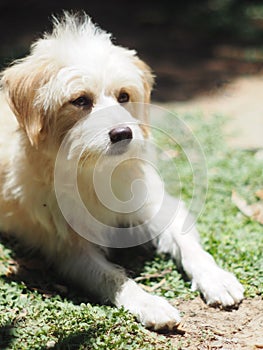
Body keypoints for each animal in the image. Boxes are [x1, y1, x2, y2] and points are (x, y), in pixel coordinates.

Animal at [0, 13, 245, 330]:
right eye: (80, 100)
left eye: (124, 96)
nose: (123, 133)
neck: (95, 169)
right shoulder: (72, 251)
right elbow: (112, 276)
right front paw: (150, 303)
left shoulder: (155, 204)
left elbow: (187, 243)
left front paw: (216, 278)